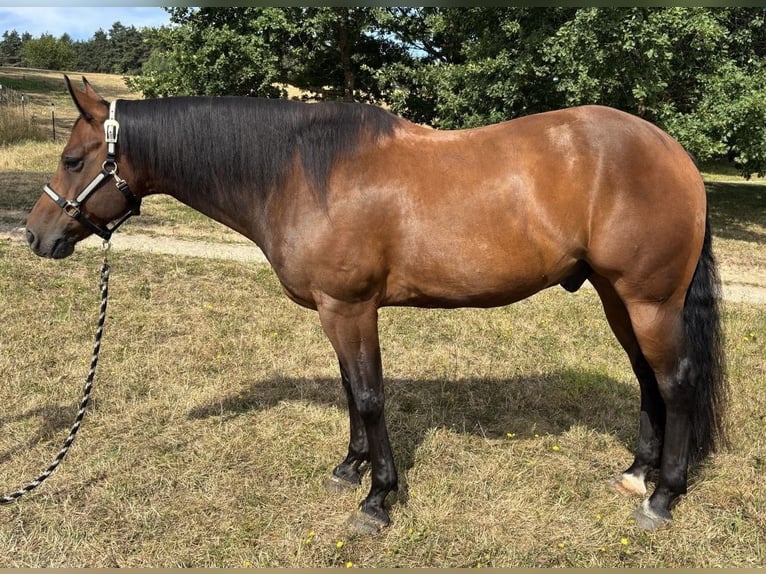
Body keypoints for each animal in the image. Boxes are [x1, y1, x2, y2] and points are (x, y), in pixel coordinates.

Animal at [25, 76, 727, 533]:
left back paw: (663, 496)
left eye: (74, 158)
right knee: (647, 380)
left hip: (648, 299)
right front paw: (350, 467)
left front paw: (378, 500)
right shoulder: (335, 311)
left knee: (676, 381)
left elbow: (368, 394)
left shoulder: (350, 307)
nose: (35, 235)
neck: (300, 172)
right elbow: (348, 389)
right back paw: (636, 471)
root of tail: (675, 153)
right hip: (617, 297)